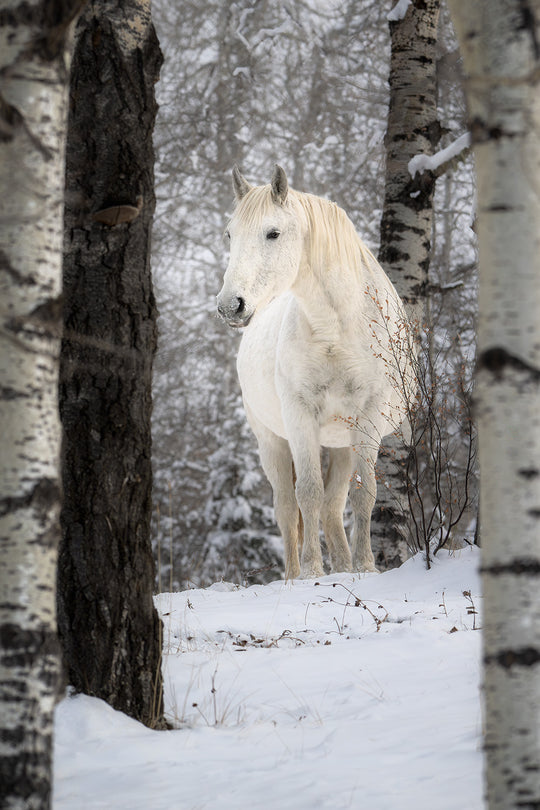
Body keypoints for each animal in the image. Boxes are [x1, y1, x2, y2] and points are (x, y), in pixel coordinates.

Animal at [217, 165, 413, 579]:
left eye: (273, 232)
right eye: (230, 233)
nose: (230, 305)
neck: (336, 327)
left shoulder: (367, 418)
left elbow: (363, 493)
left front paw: (365, 567)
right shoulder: (299, 415)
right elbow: (307, 492)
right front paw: (311, 572)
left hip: (341, 443)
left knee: (333, 508)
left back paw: (344, 566)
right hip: (272, 442)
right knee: (288, 509)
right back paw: (294, 574)